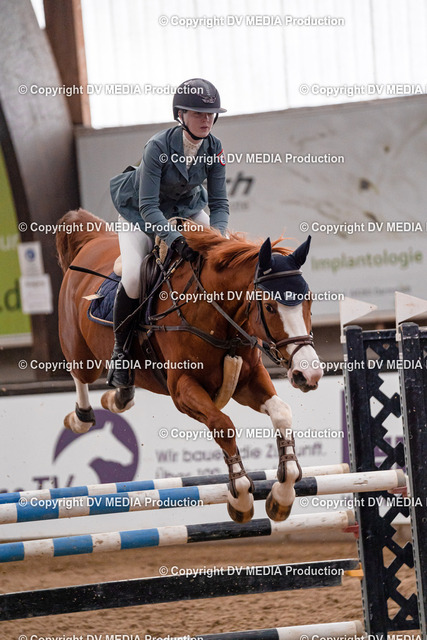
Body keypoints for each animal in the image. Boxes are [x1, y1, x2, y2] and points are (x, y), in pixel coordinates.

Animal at [56, 209, 323, 524]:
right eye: (269, 306)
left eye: (309, 300)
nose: (309, 373)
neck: (217, 315)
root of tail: (91, 239)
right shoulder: (183, 389)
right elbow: (223, 426)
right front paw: (241, 496)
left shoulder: (248, 381)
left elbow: (281, 413)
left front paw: (282, 495)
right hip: (81, 353)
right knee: (80, 376)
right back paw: (81, 417)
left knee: (119, 392)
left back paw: (118, 397)